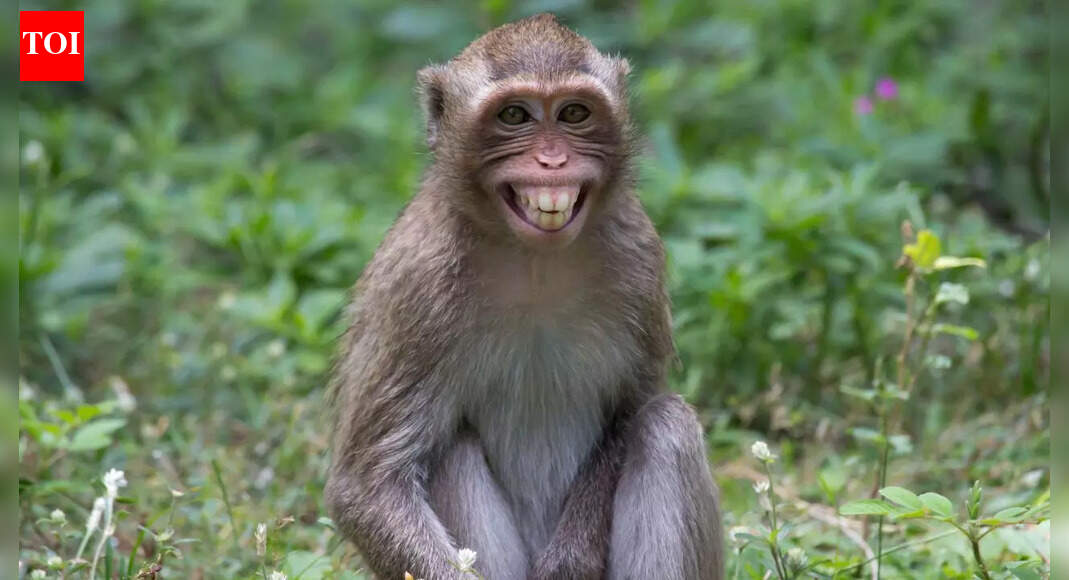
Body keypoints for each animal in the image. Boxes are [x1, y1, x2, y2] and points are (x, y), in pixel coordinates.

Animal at [325, 13, 723, 580]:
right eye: (514, 115)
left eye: (574, 112)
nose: (552, 161)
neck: (534, 263)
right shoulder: (414, 284)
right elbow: (368, 487)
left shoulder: (639, 256)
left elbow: (632, 409)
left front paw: (572, 557)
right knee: (451, 450)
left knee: (666, 424)